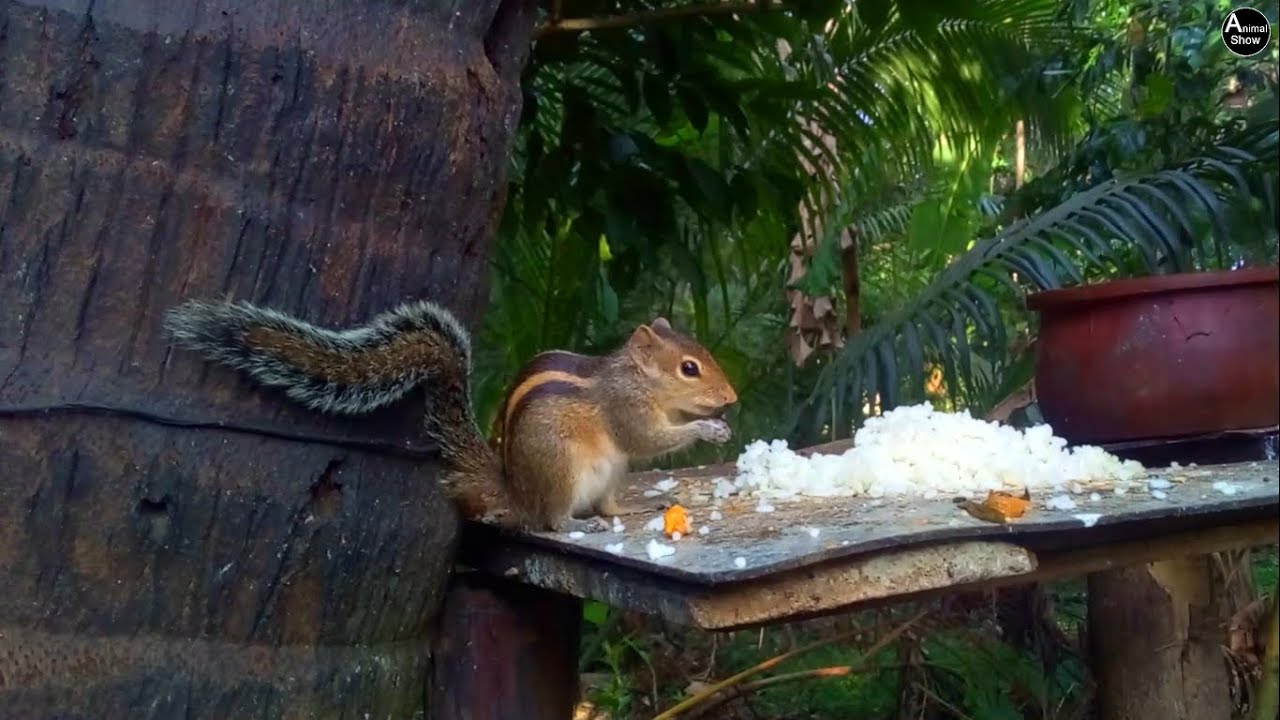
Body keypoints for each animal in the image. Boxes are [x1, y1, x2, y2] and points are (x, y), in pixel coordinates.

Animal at [163, 298, 739, 533]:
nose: (732, 398)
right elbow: (648, 439)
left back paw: (627, 510)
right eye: (689, 368)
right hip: (561, 471)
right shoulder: (626, 410)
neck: (633, 377)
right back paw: (581, 523)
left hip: (606, 477)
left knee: (604, 503)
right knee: (552, 520)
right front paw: (708, 427)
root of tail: (515, 492)